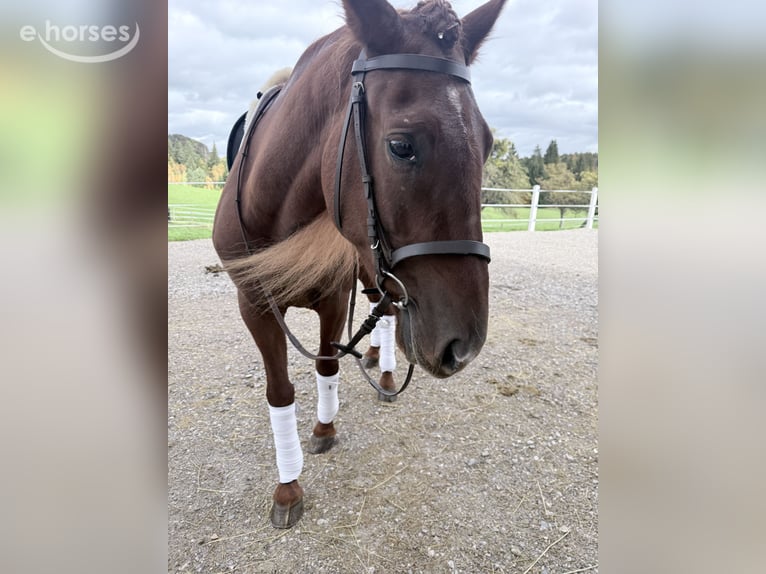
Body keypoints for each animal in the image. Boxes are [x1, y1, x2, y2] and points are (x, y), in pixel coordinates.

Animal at [213, 0, 507, 529]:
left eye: (488, 142)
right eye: (401, 146)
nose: (465, 347)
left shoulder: (334, 296)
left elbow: (327, 364)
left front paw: (325, 430)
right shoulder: (255, 306)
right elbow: (279, 391)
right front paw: (288, 487)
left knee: (387, 315)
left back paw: (382, 369)